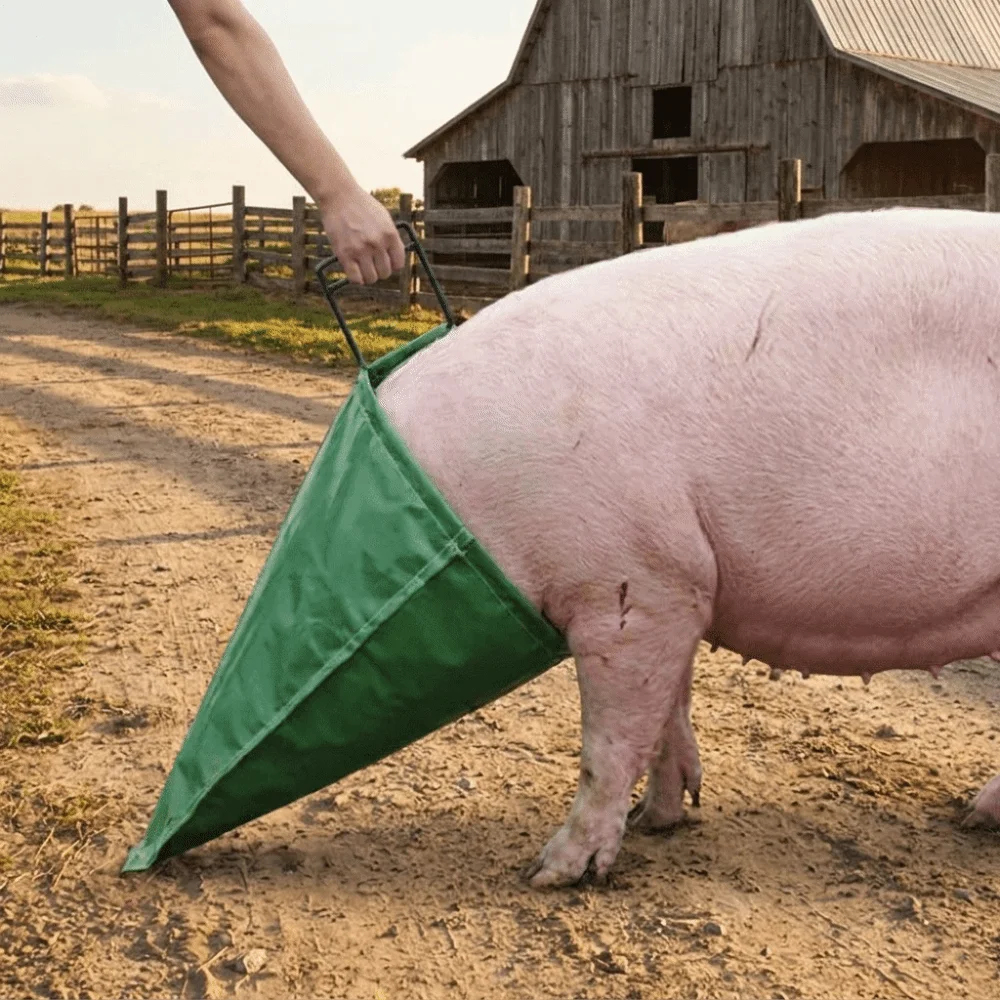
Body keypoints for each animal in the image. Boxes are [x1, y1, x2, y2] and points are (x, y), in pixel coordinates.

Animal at [375, 207, 1000, 889]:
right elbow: (668, 709)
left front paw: (549, 874)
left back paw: (975, 817)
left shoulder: (630, 582)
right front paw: (658, 819)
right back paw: (975, 816)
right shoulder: (680, 587)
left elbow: (609, 743)